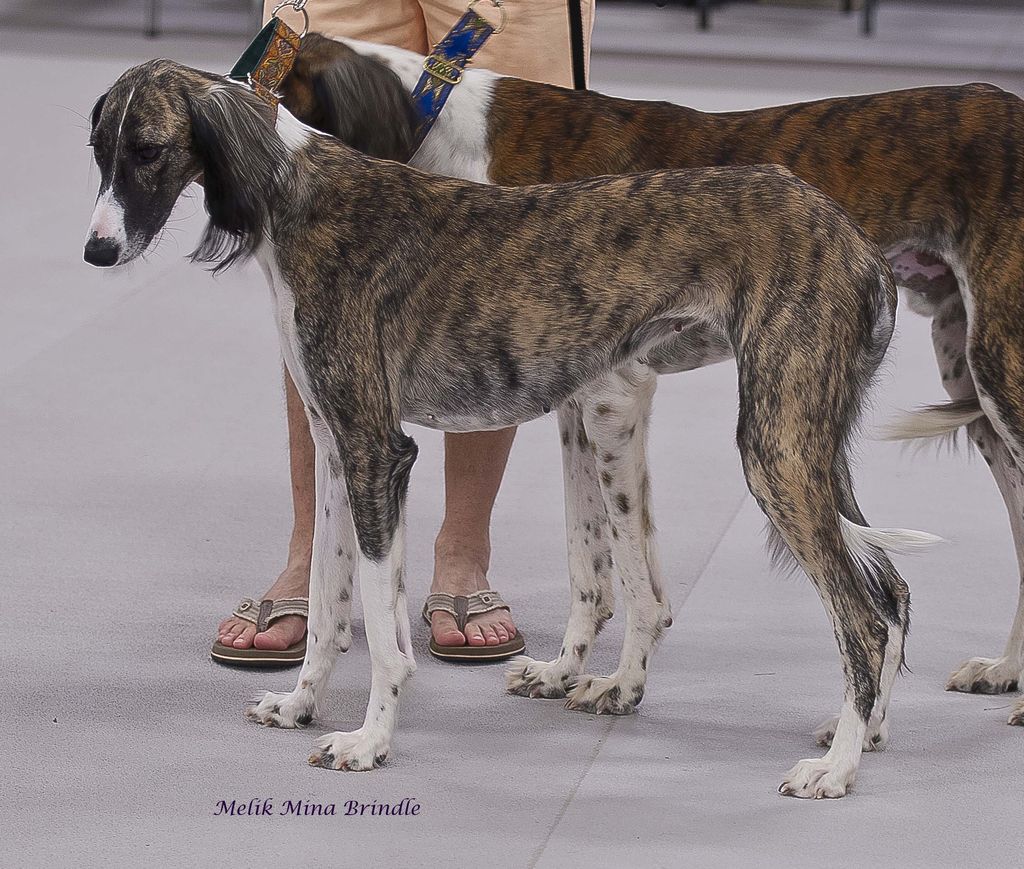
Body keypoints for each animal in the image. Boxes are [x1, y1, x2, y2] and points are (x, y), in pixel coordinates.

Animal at [86, 57, 937, 798]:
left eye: (149, 149)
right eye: (98, 148)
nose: (95, 250)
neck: (297, 190)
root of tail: (856, 242)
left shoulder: (376, 451)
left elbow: (383, 629)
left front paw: (369, 741)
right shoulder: (334, 452)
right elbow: (329, 606)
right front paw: (299, 705)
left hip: (775, 448)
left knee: (861, 618)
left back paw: (836, 768)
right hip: (806, 438)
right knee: (890, 589)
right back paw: (862, 735)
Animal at [276, 35, 1024, 724]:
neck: (445, 129)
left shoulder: (614, 396)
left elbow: (633, 575)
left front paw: (620, 684)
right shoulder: (578, 405)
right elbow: (591, 561)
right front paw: (563, 670)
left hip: (985, 379)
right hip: (957, 383)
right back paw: (994, 675)